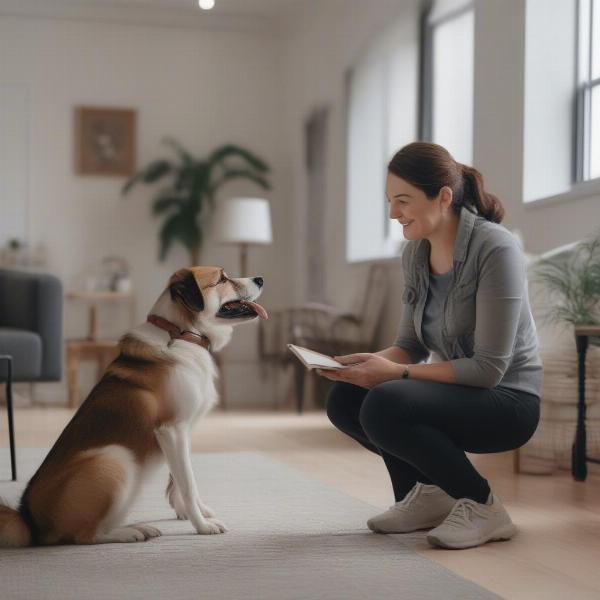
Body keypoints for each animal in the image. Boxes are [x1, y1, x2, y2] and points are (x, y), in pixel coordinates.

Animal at [0, 268, 268, 548]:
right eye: (222, 279)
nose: (261, 279)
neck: (180, 333)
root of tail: (29, 520)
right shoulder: (172, 430)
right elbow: (188, 483)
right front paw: (202, 526)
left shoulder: (183, 432)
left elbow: (179, 478)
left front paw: (190, 511)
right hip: (114, 458)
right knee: (85, 536)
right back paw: (133, 531)